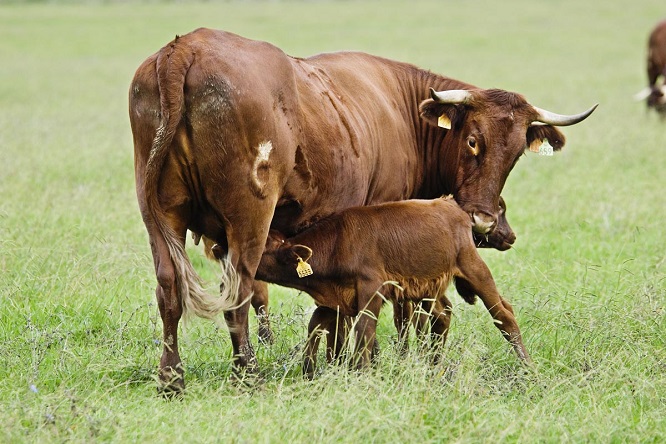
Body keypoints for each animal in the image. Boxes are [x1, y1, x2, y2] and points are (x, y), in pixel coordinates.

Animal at [253, 196, 530, 377]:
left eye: (263, 249)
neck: (339, 242)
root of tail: (449, 203)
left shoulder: (371, 288)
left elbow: (364, 331)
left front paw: (362, 374)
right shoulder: (336, 298)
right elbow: (316, 324)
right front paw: (309, 371)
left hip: (473, 266)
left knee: (503, 314)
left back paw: (529, 369)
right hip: (428, 285)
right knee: (442, 314)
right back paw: (433, 366)